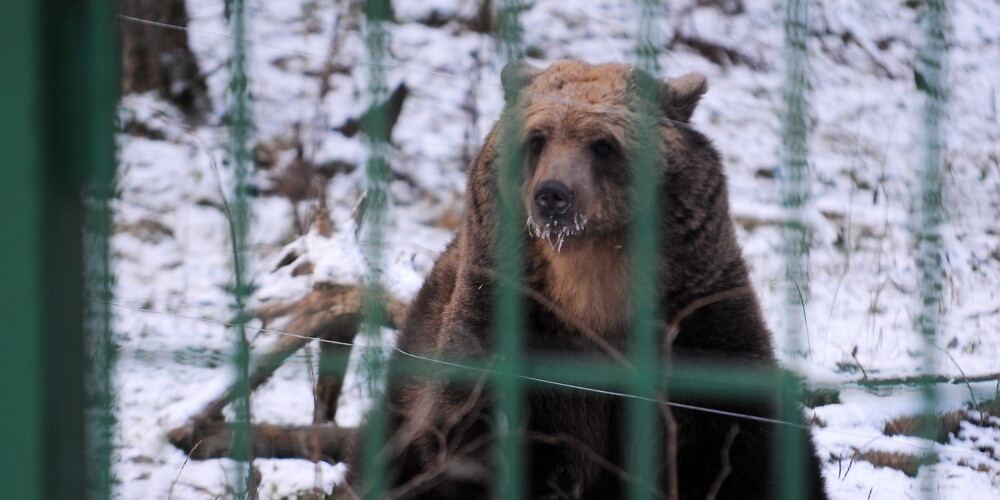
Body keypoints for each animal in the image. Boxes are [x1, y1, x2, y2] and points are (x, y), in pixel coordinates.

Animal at [350, 61, 828, 500]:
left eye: (603, 144)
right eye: (537, 139)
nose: (552, 195)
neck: (589, 283)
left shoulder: (698, 323)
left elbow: (740, 443)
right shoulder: (508, 323)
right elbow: (479, 439)